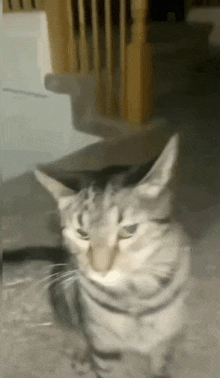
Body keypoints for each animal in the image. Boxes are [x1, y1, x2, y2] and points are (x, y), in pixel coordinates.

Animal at [34, 134, 191, 376]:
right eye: (82, 233)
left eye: (128, 230)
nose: (101, 269)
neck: (134, 295)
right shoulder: (104, 348)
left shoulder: (164, 339)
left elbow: (160, 365)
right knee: (72, 330)